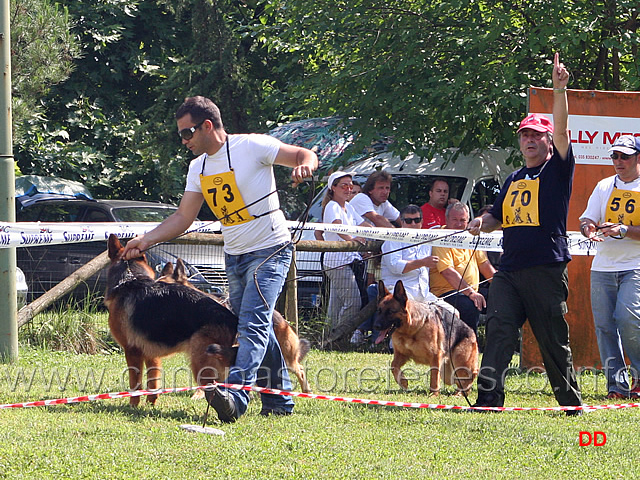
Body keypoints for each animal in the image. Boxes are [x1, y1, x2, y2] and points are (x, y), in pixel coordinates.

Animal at [106, 235, 239, 404]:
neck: (129, 278)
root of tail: (232, 317)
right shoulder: (151, 354)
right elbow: (153, 381)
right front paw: (150, 403)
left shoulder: (132, 351)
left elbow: (135, 385)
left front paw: (132, 405)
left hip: (201, 363)